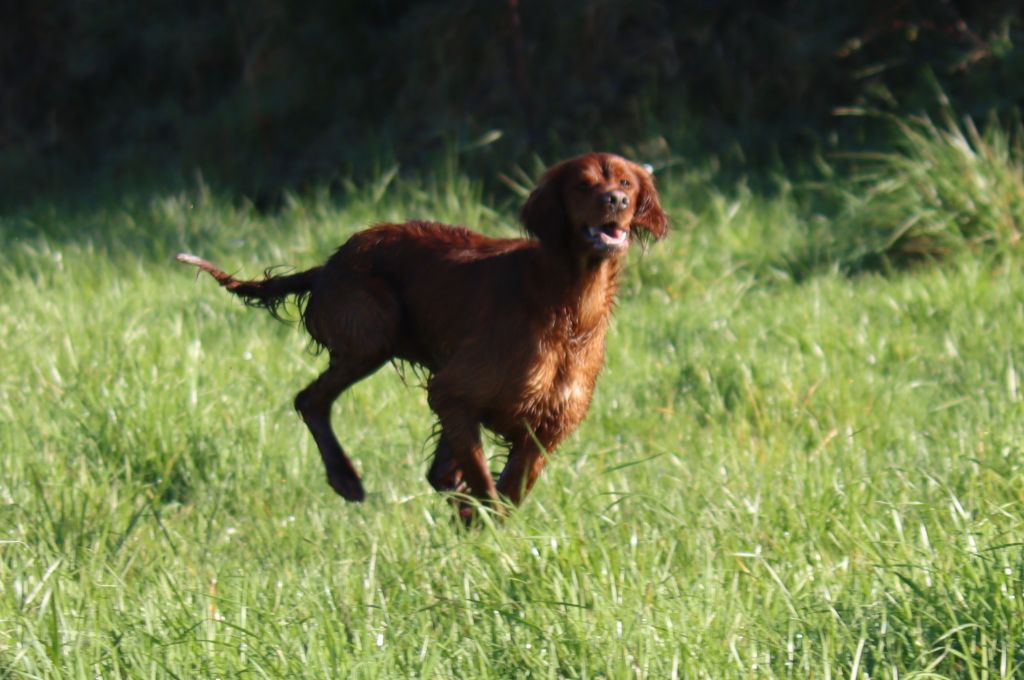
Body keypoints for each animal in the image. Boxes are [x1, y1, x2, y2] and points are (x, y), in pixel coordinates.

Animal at [180, 152, 667, 516]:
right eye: (583, 185)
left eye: (627, 182)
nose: (615, 200)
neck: (566, 307)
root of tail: (329, 264)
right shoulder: (454, 391)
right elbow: (485, 487)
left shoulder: (546, 423)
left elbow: (501, 491)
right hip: (374, 330)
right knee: (310, 399)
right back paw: (345, 478)